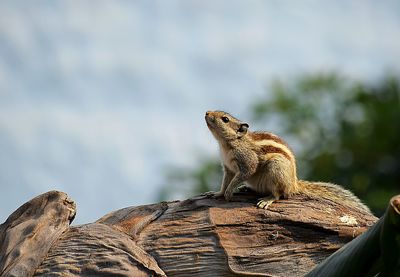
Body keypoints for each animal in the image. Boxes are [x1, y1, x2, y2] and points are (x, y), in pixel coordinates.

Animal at [205, 110, 370, 211]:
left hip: (275, 169)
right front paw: (219, 193)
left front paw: (228, 192)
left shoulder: (247, 161)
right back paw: (247, 188)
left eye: (225, 119)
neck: (227, 144)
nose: (207, 112)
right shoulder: (228, 168)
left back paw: (267, 199)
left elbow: (244, 173)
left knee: (279, 194)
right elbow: (226, 180)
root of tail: (294, 184)